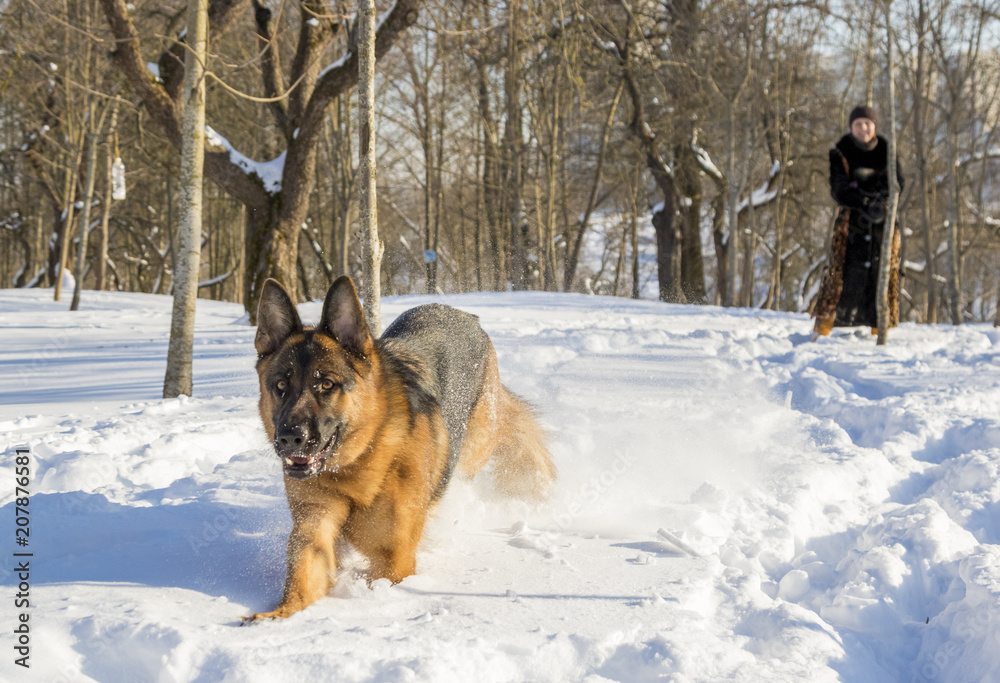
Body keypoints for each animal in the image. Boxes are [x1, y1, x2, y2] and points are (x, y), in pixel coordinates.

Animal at [243, 276, 556, 624]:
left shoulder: (395, 561)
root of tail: (461, 313)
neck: (358, 462)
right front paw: (278, 616)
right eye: (281, 386)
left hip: (477, 444)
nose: (289, 438)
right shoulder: (313, 530)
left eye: (326, 385)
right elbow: (301, 580)